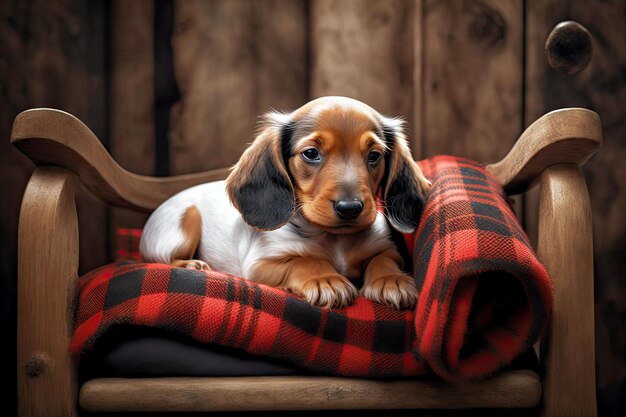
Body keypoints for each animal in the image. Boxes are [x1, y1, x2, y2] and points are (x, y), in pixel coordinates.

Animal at [138, 96, 428, 308]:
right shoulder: (260, 265)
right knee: (161, 258)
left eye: (374, 155)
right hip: (185, 223)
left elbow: (383, 259)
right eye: (311, 153)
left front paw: (392, 280)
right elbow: (304, 261)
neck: (333, 239)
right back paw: (192, 264)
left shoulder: (386, 249)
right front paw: (326, 279)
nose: (350, 208)